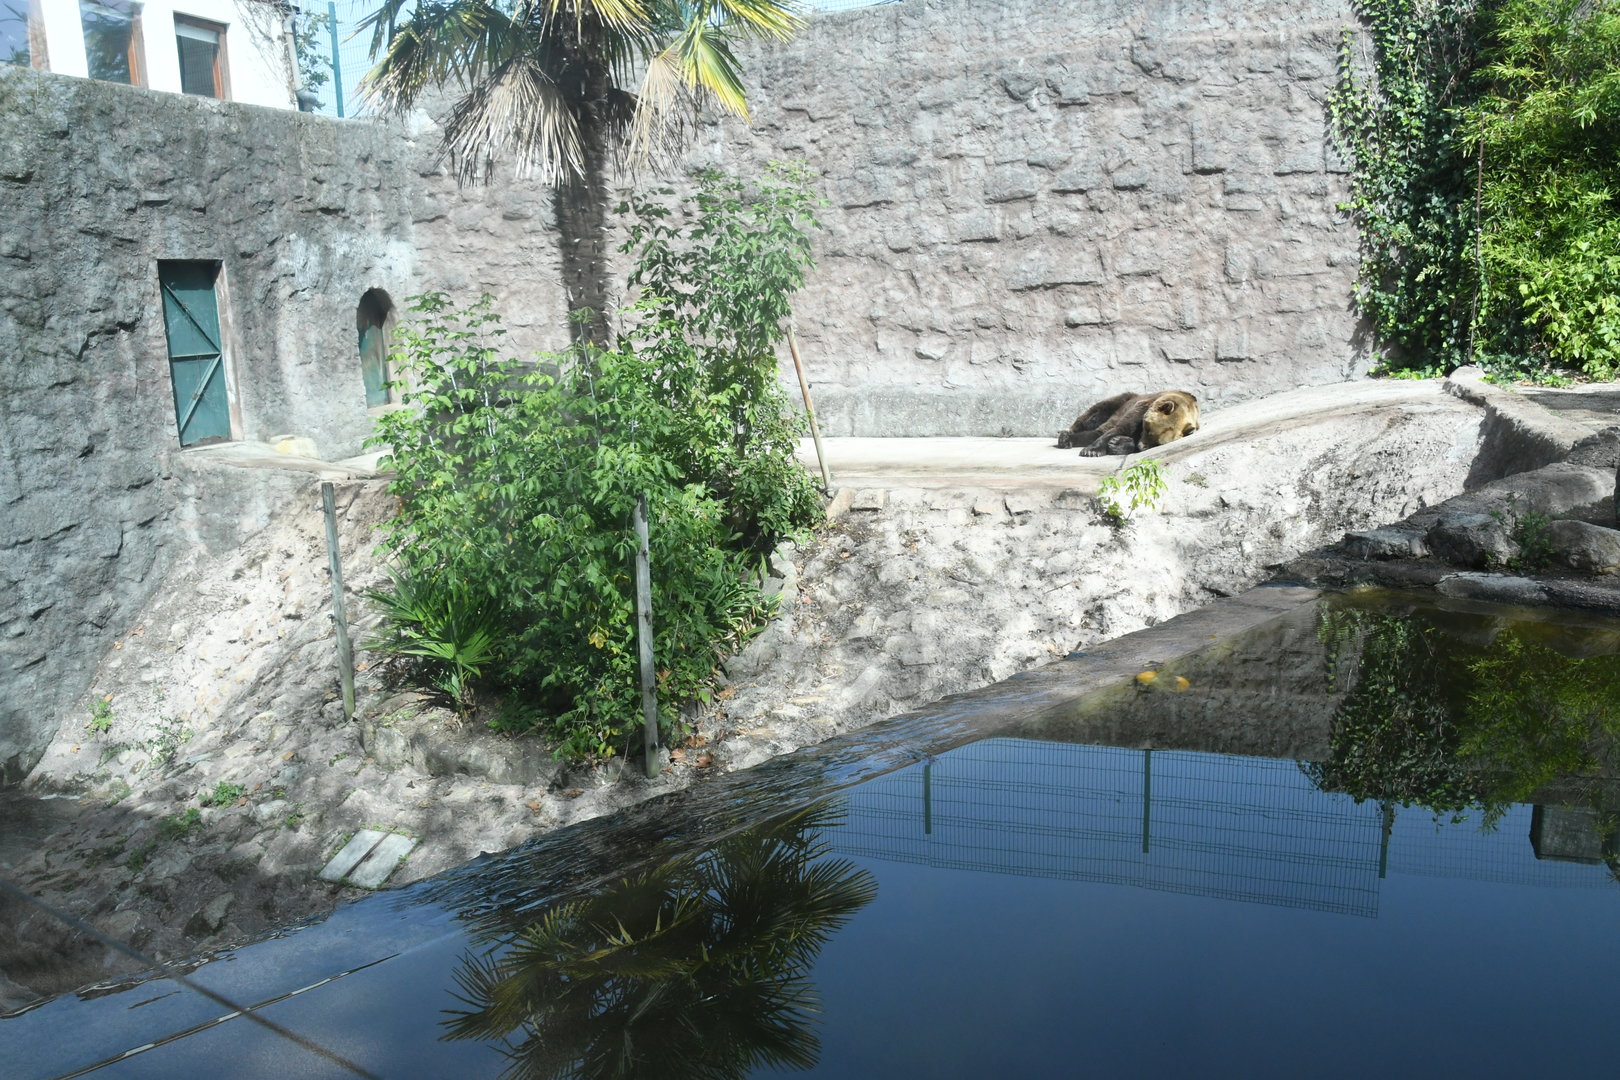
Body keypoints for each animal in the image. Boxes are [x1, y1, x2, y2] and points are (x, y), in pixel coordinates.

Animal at [1056, 390, 1201, 456]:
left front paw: (1116, 444)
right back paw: (1065, 436)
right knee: (1094, 417)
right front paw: (1092, 450)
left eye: (1158, 443)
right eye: (1148, 429)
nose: (1142, 446)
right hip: (1120, 402)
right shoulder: (1141, 408)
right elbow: (1123, 427)